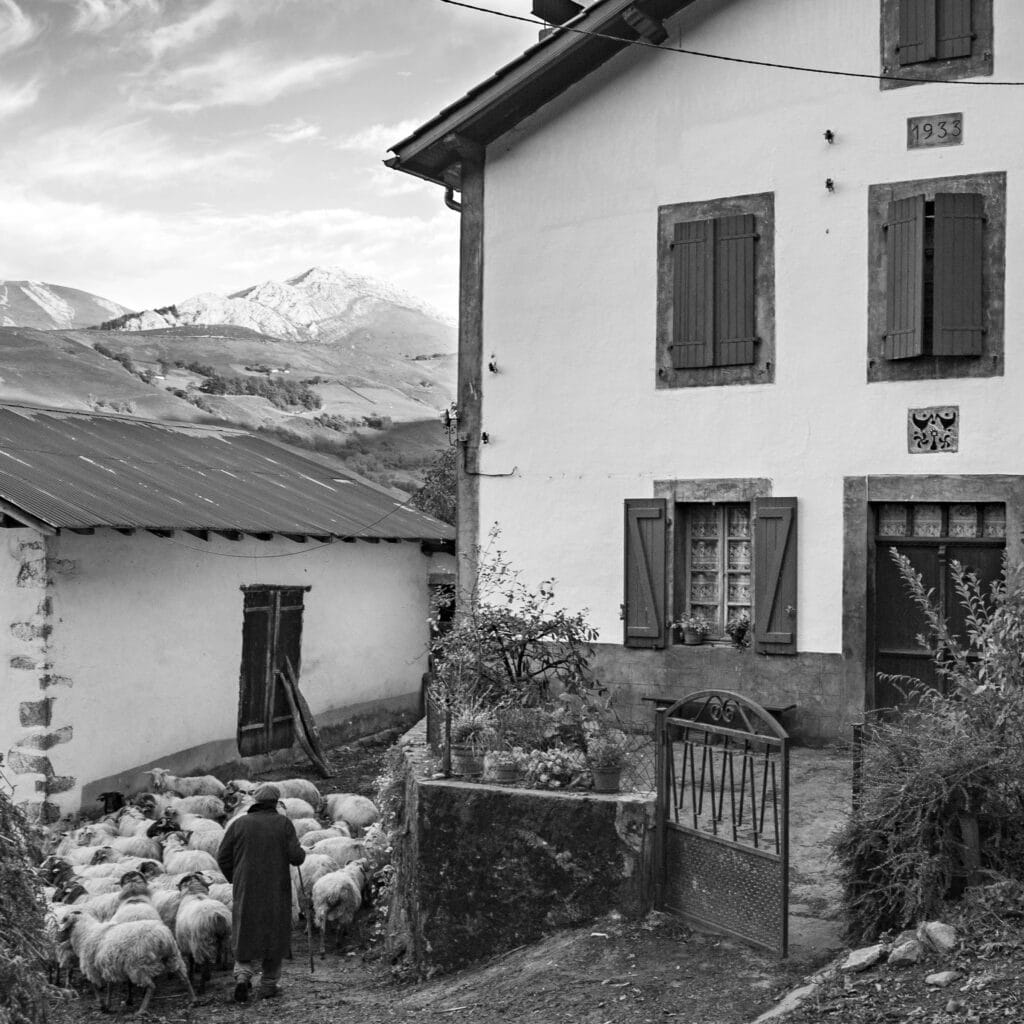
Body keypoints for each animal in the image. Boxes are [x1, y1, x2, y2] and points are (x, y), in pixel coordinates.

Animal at [58, 909, 195, 1011]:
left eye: (64, 920)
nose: (57, 938)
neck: (85, 933)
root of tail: (161, 936)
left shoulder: (92, 968)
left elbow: (95, 986)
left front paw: (101, 1004)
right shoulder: (107, 966)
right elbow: (110, 986)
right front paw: (109, 1005)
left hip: (137, 967)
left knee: (151, 986)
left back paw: (141, 1011)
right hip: (173, 957)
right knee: (185, 978)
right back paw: (193, 999)